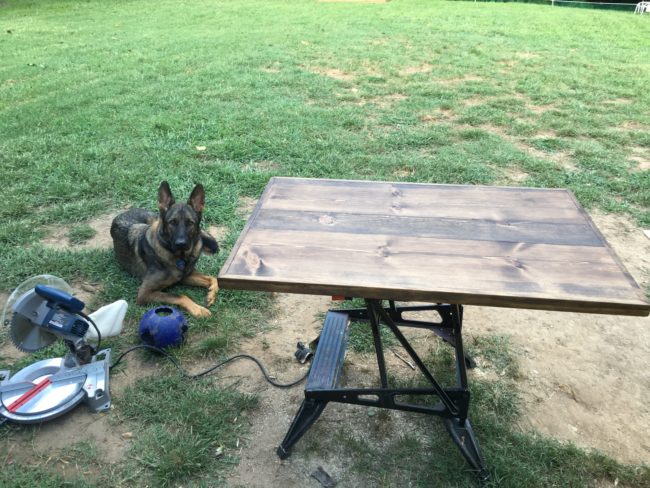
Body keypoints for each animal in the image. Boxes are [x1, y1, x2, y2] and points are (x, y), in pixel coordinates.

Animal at [110, 181, 219, 318]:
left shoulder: (185, 276)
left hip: (154, 221)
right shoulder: (144, 293)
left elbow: (214, 278)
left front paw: (211, 294)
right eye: (172, 222)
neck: (180, 256)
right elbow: (181, 296)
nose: (181, 243)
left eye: (190, 223)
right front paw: (198, 309)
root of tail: (126, 211)